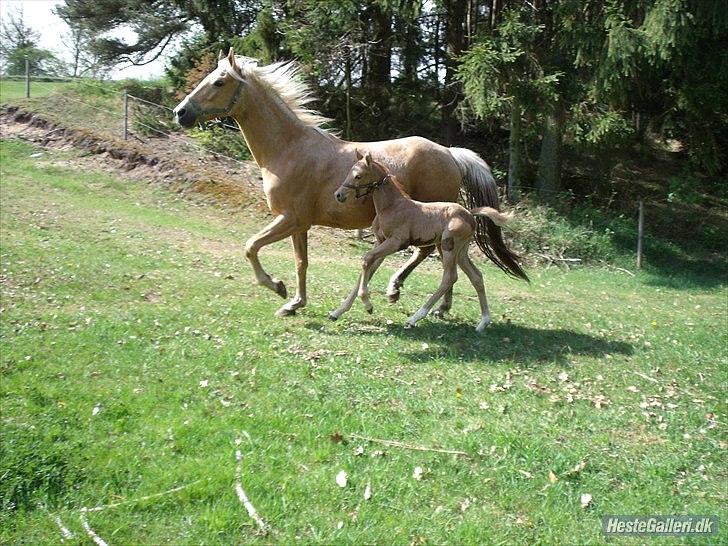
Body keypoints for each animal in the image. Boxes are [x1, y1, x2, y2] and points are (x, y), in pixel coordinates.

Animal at [330, 150, 512, 332]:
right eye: (349, 173)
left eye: (358, 176)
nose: (338, 195)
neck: (391, 206)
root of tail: (469, 214)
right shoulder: (381, 241)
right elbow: (368, 269)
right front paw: (338, 312)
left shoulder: (396, 242)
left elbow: (366, 259)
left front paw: (368, 305)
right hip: (461, 251)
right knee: (476, 276)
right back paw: (483, 322)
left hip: (448, 246)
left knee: (449, 277)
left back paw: (415, 318)